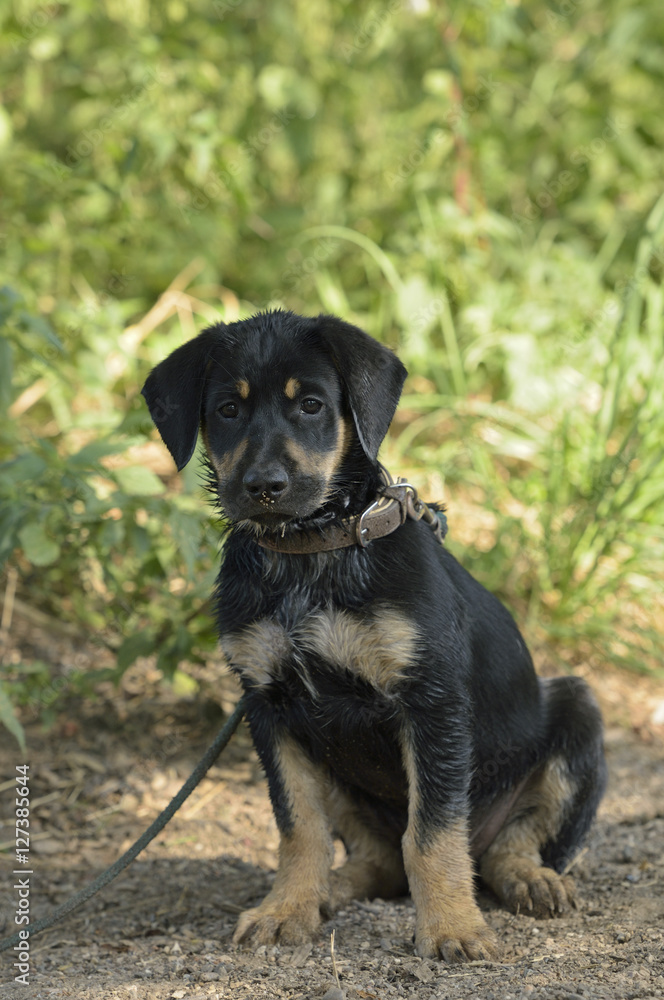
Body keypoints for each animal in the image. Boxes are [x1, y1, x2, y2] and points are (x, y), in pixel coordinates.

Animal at [141, 310, 608, 960]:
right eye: (228, 410)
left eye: (311, 405)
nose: (264, 486)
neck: (309, 554)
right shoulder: (269, 707)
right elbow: (299, 828)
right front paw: (286, 909)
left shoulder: (430, 700)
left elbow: (433, 831)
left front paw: (452, 928)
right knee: (379, 858)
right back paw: (329, 891)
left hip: (577, 712)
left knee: (507, 843)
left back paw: (531, 879)